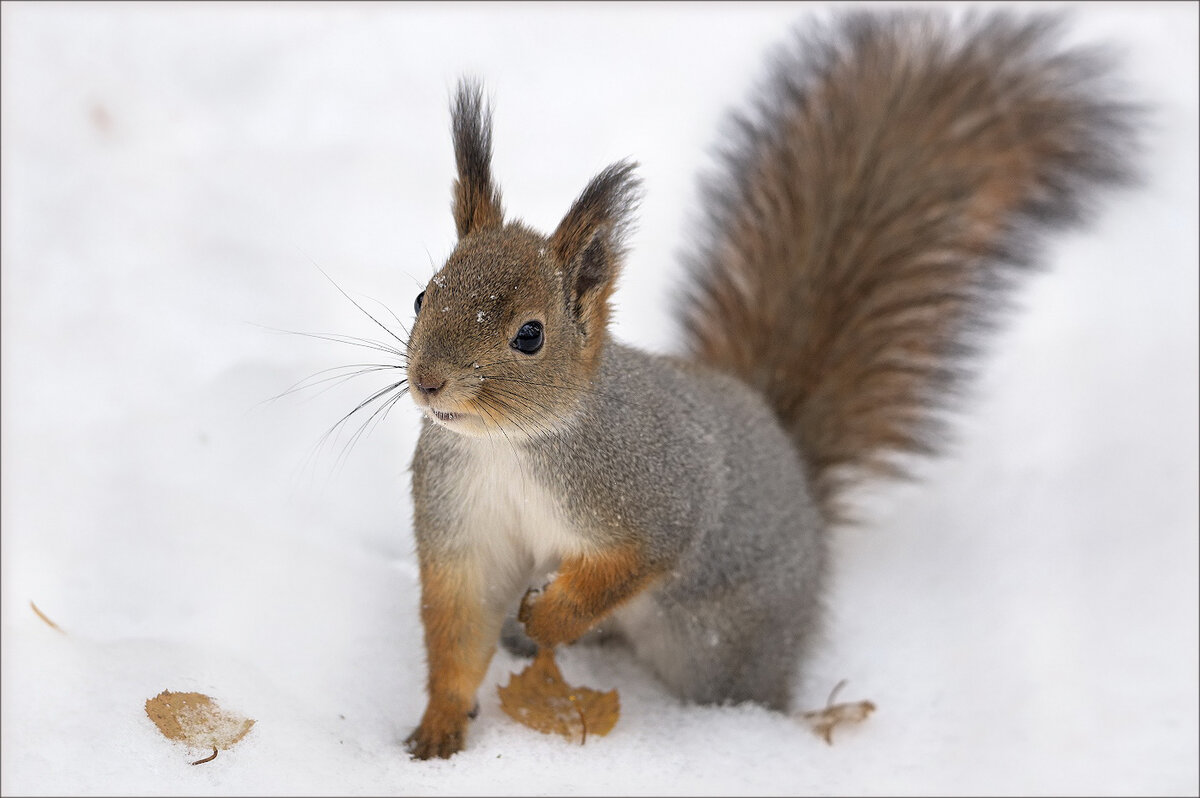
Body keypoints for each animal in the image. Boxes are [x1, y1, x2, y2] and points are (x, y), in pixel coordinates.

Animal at [399, 9, 1135, 759]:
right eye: (423, 297)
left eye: (530, 335)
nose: (428, 382)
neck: (508, 446)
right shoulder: (461, 524)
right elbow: (459, 625)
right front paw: (438, 729)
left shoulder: (655, 490)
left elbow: (636, 559)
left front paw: (549, 618)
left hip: (720, 641)